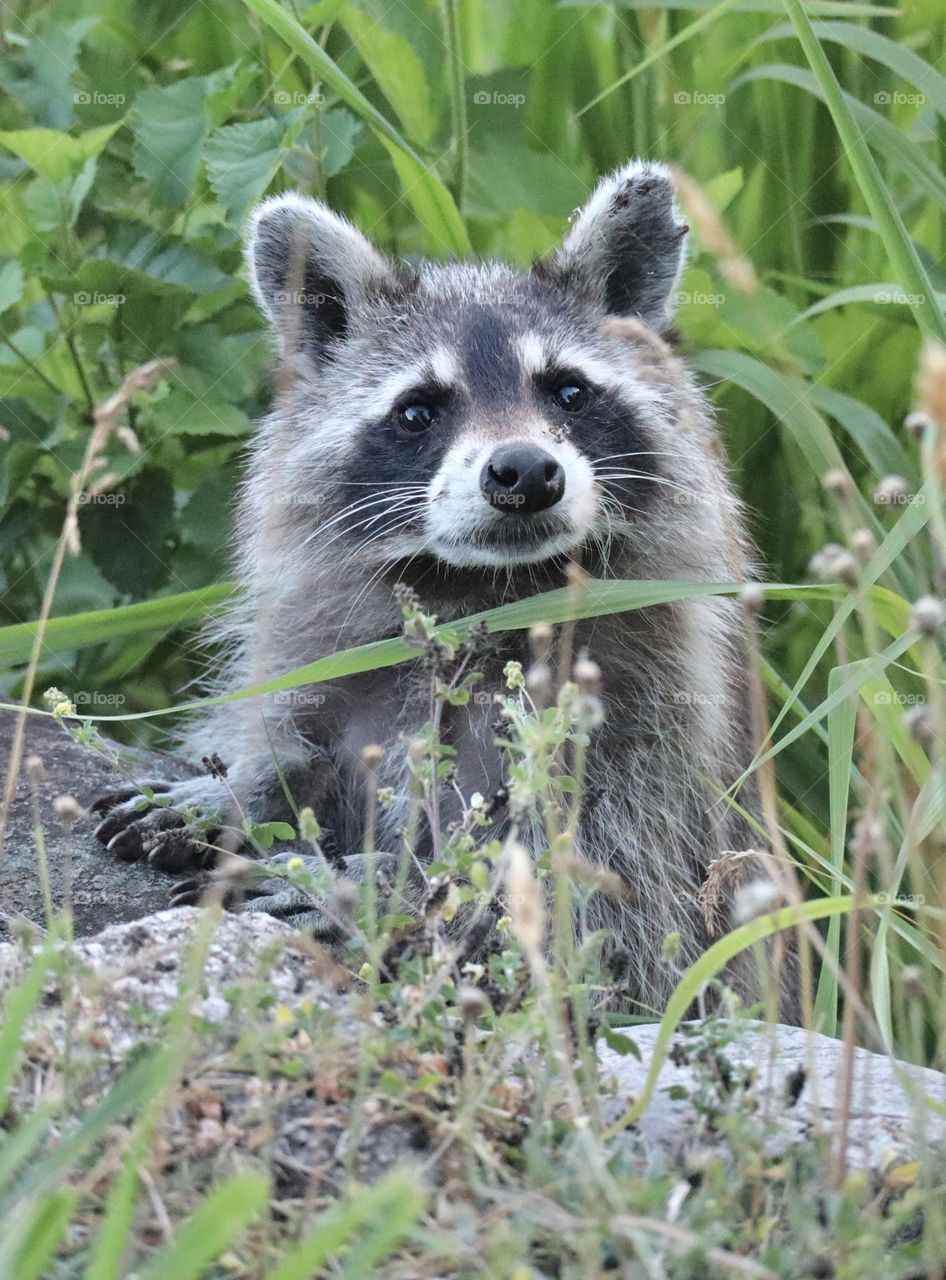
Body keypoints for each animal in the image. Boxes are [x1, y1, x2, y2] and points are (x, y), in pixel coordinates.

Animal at [92, 160, 783, 1013]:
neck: (486, 589)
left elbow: (600, 894)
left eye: (569, 392)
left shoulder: (656, 731)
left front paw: (371, 889)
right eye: (418, 410)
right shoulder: (332, 654)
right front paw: (245, 791)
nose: (524, 471)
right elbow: (298, 744)